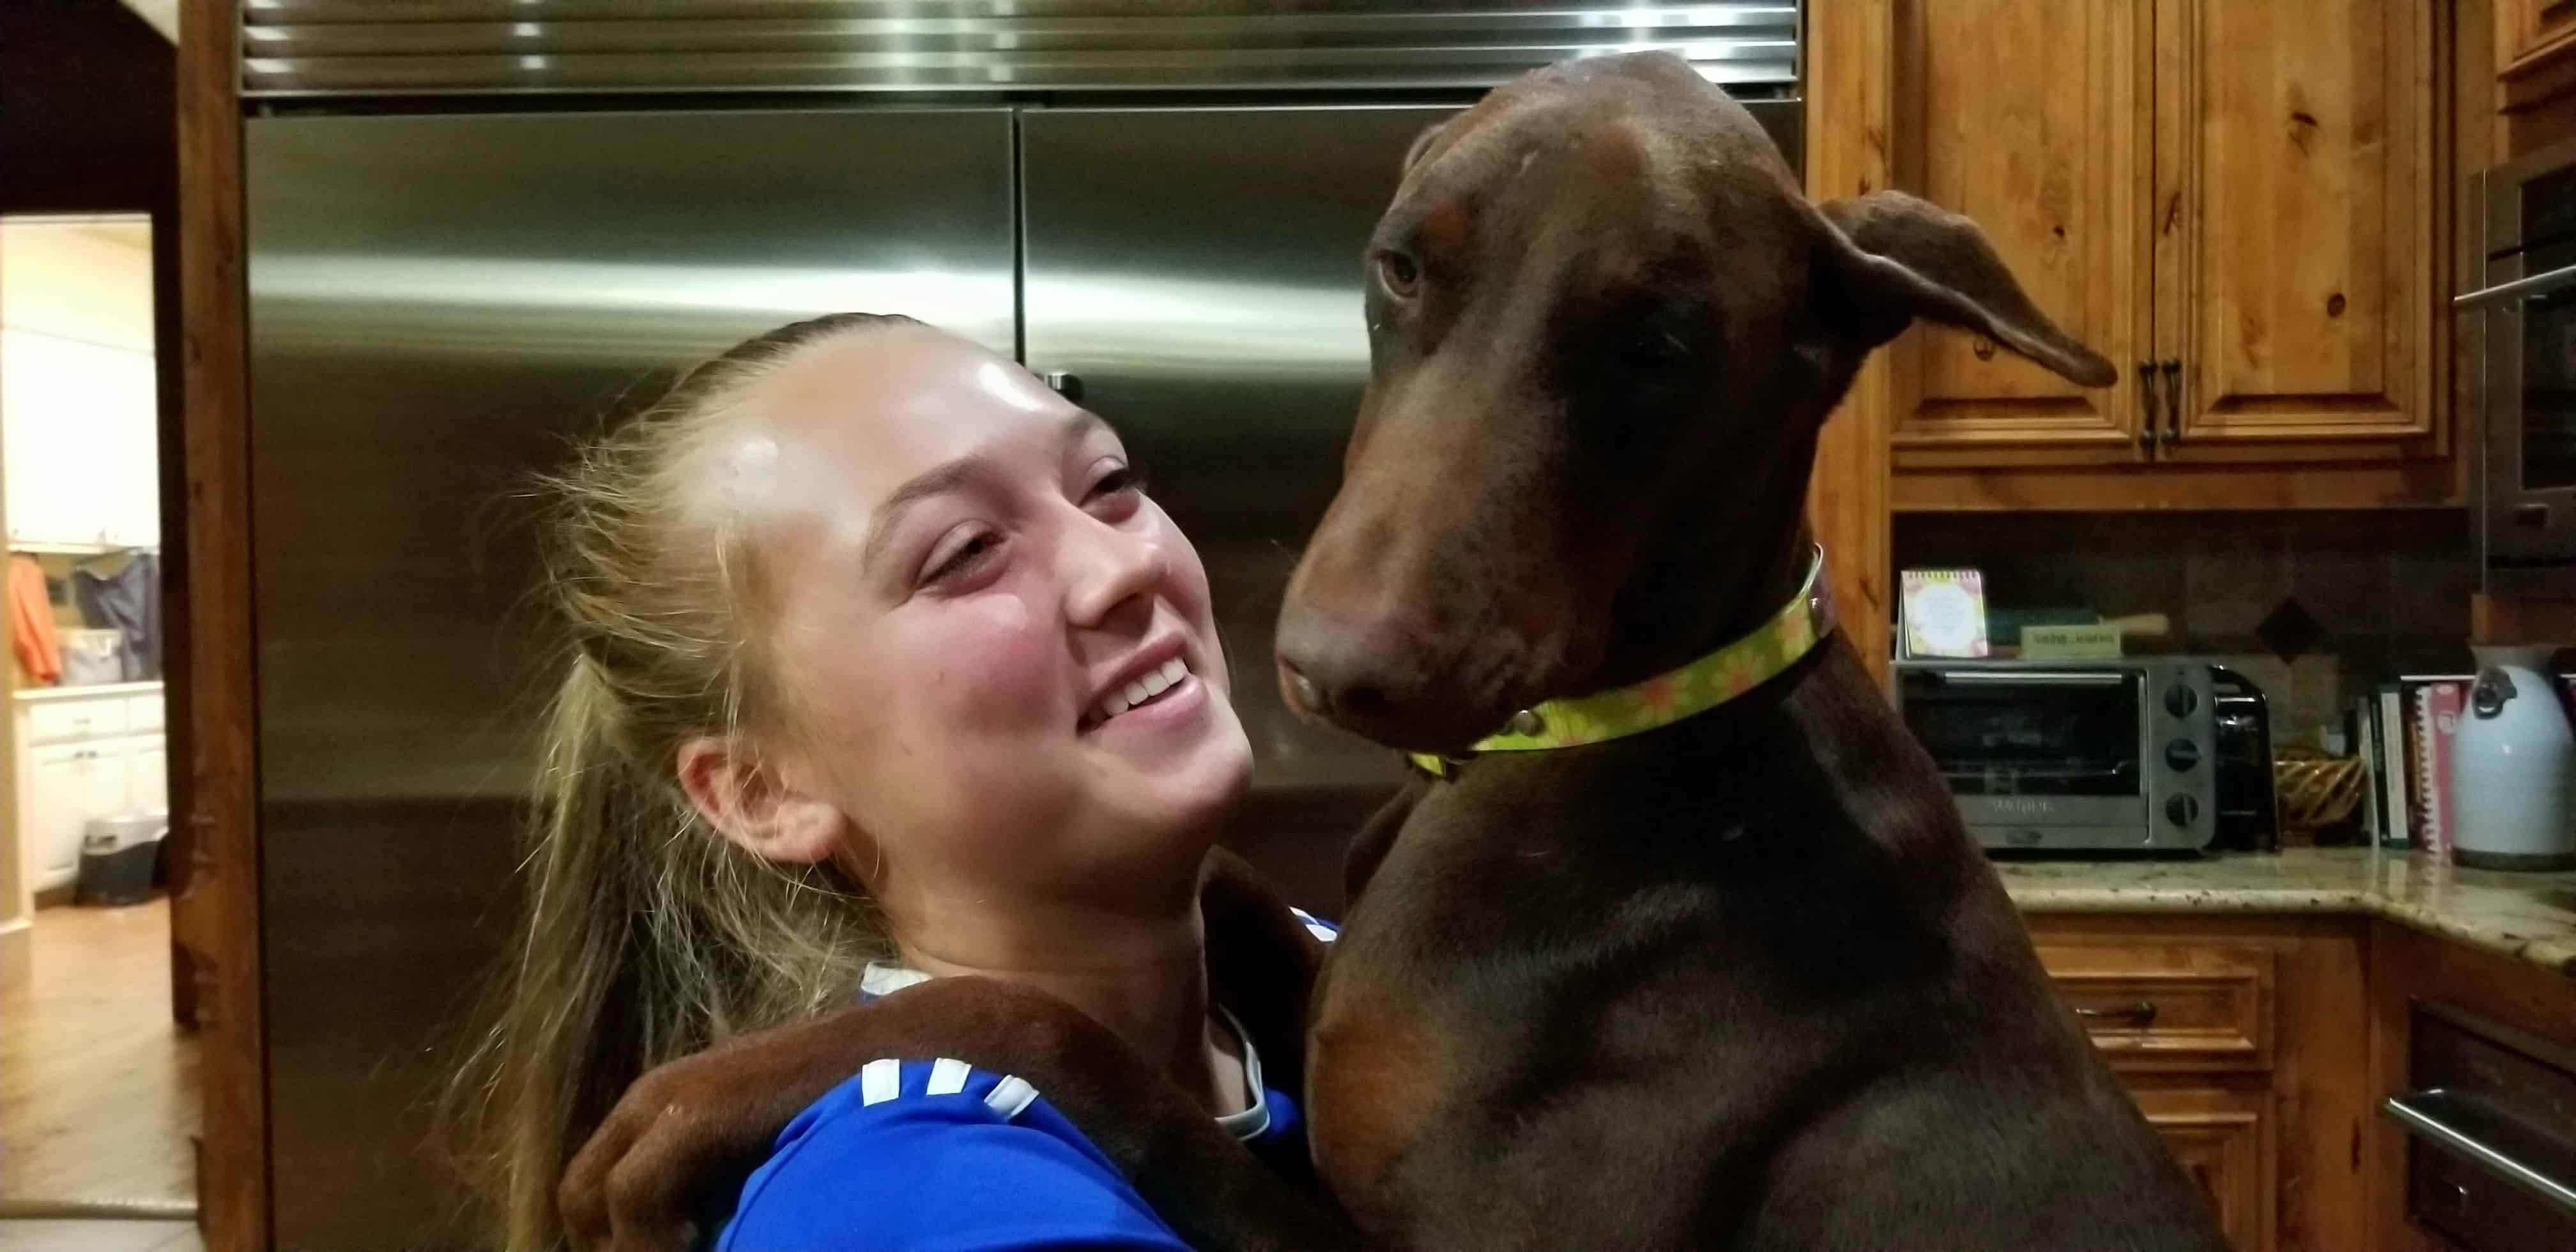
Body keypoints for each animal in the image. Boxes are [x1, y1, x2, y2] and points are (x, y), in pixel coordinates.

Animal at [564, 51, 2235, 1252]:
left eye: (1660, 348)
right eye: (1399, 268)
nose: (1340, 667)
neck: (1623, 736)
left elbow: (1047, 1026)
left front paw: (686, 1106)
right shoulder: (1348, 993)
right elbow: (1241, 894)